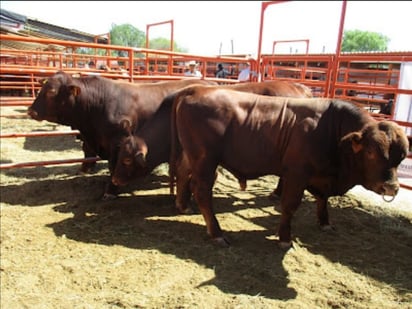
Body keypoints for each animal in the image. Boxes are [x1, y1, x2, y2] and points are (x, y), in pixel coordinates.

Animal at [168, 84, 408, 248]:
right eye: (371, 152)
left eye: (402, 156)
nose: (392, 187)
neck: (331, 130)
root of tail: (195, 89)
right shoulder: (297, 174)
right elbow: (290, 205)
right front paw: (285, 238)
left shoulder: (321, 176)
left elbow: (322, 199)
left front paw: (324, 222)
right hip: (205, 160)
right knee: (202, 191)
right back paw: (217, 233)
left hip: (192, 156)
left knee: (182, 172)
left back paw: (182, 205)